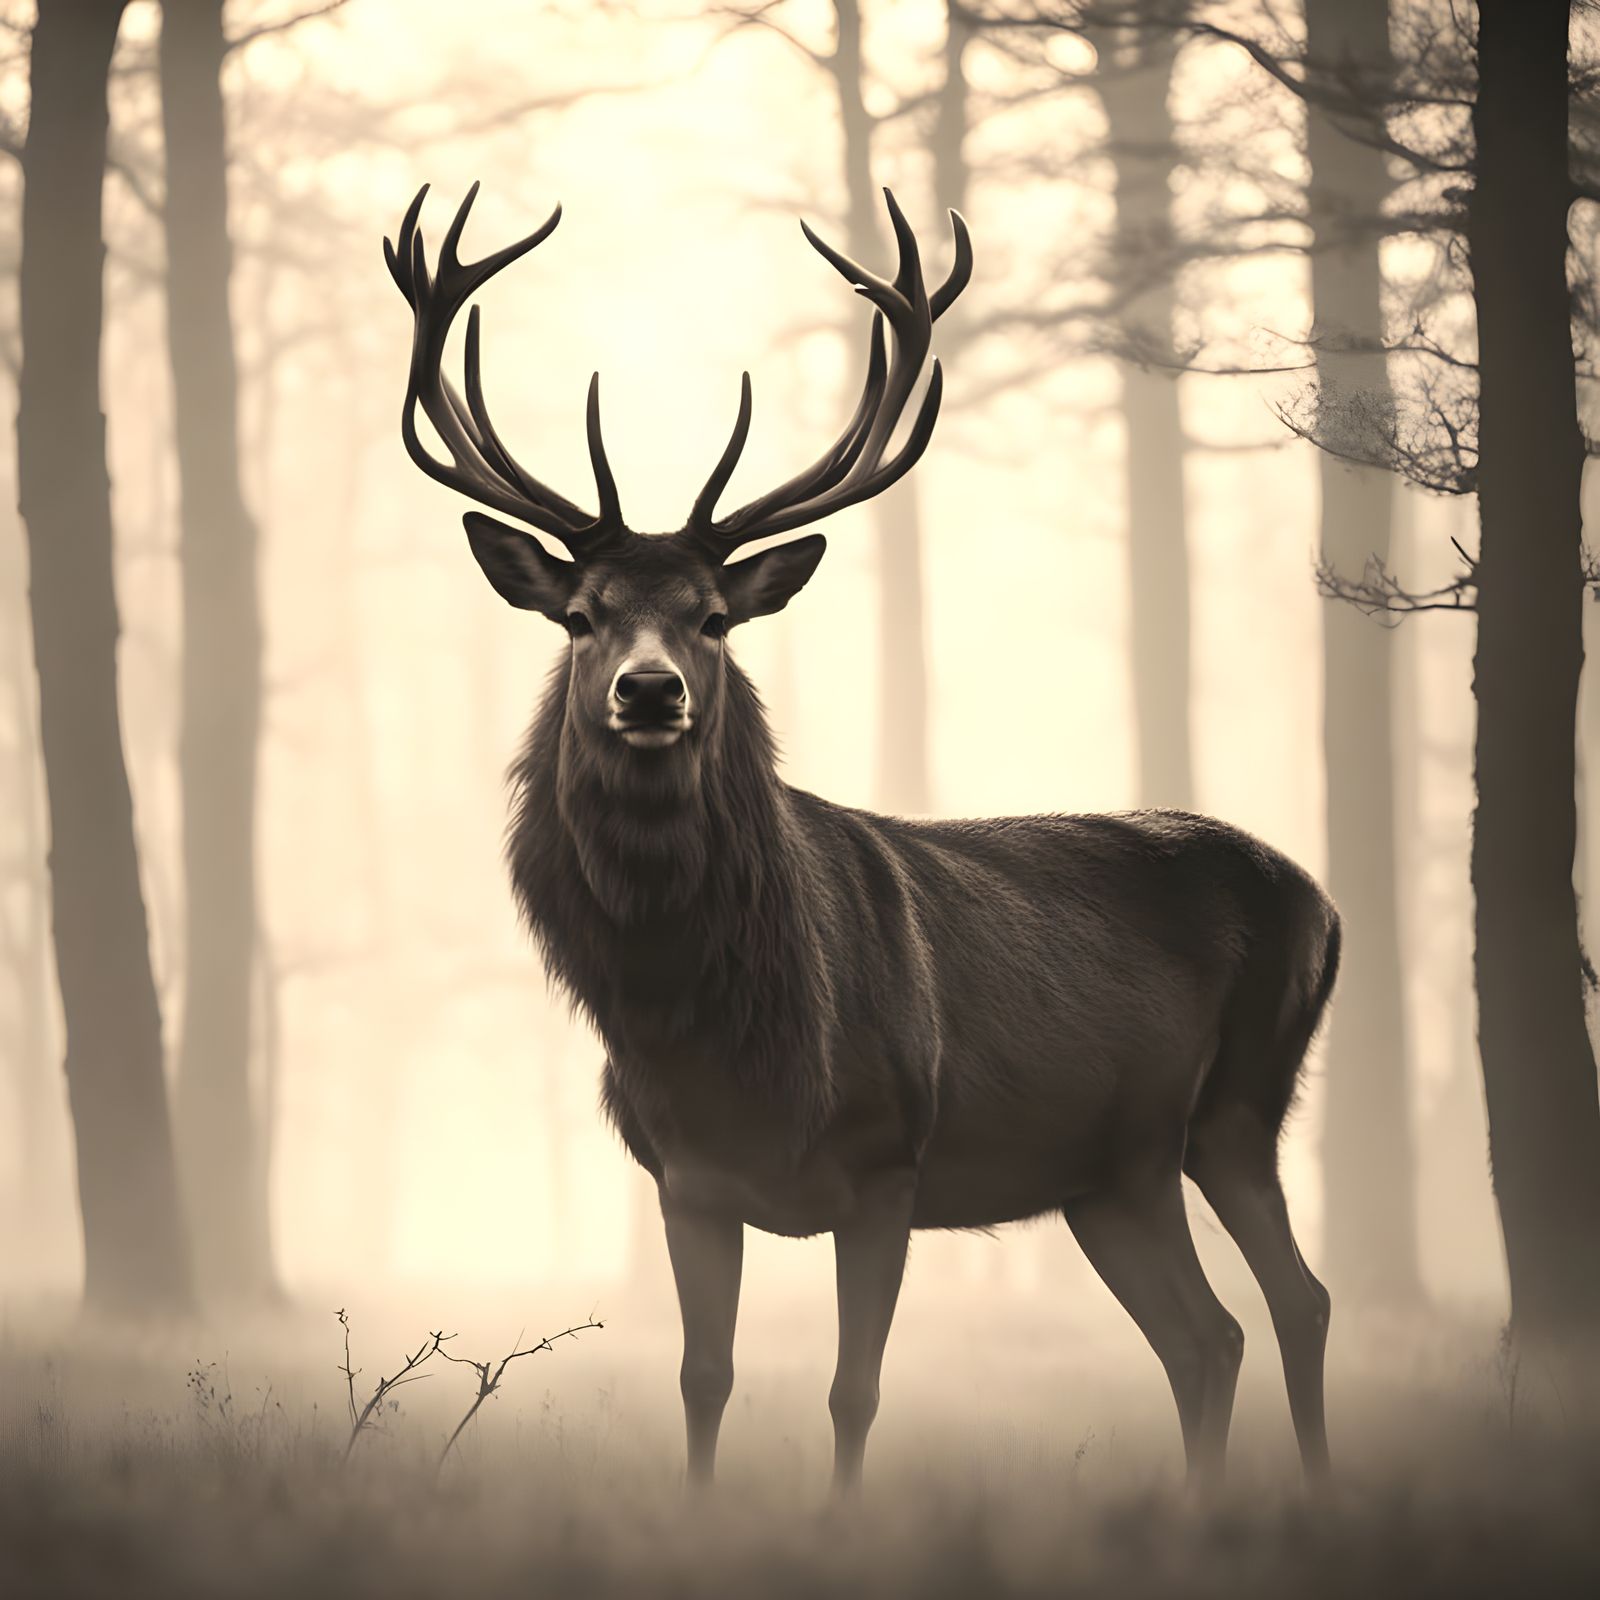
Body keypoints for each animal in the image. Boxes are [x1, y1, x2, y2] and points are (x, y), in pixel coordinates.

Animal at [385, 182, 1339, 1496]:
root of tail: (1326, 906)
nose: (648, 690)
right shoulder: (686, 1177)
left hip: (1244, 1100)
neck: (724, 1026)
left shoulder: (889, 1159)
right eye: (581, 614)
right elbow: (703, 1379)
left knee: (1295, 1301)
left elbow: (854, 1390)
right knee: (1209, 1335)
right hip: (1113, 1172)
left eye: (713, 618)